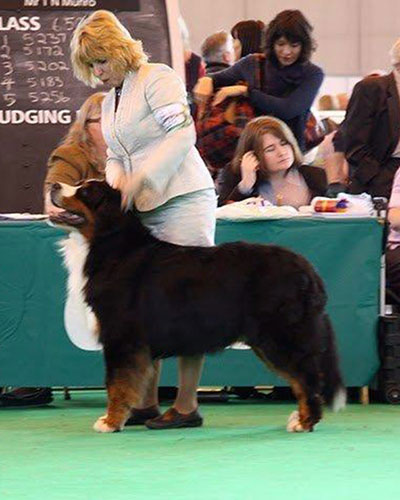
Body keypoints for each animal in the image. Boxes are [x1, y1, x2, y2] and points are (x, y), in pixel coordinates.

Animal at [50, 180, 346, 434]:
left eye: (85, 192)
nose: (53, 184)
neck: (113, 249)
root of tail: (307, 268)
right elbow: (134, 381)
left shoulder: (121, 338)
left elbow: (116, 384)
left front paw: (110, 421)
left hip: (280, 335)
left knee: (308, 377)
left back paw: (305, 421)